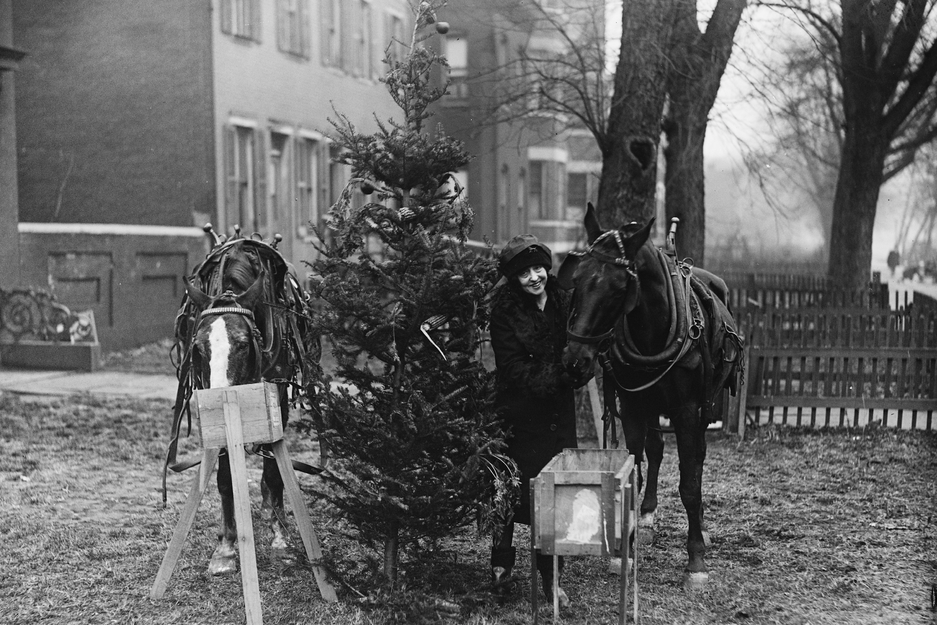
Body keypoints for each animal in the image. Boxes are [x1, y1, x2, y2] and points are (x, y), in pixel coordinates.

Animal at [162, 228, 319, 575]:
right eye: (198, 346)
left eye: (244, 344)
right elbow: (224, 478)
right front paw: (226, 547)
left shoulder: (276, 400)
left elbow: (273, 472)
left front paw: (280, 540)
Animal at [559, 204, 743, 589]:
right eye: (577, 278)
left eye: (619, 288)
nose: (574, 361)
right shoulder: (632, 405)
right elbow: (636, 470)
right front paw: (624, 551)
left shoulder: (687, 411)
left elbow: (690, 483)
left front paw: (696, 560)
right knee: (656, 451)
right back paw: (646, 517)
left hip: (699, 407)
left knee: (697, 460)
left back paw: (700, 524)